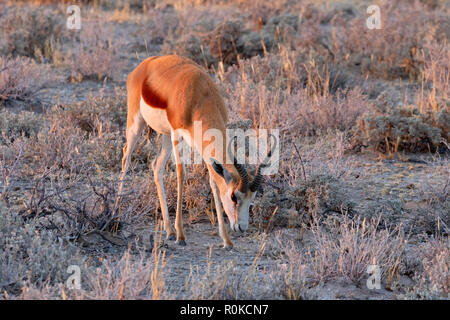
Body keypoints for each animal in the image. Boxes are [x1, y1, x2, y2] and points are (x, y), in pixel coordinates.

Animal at [119, 55, 274, 249]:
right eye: (234, 197)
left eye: (251, 198)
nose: (241, 227)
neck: (199, 94)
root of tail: (145, 65)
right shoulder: (177, 134)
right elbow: (181, 174)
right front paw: (181, 235)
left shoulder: (203, 146)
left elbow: (213, 182)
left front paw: (226, 240)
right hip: (137, 124)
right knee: (126, 157)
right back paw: (117, 210)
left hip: (165, 135)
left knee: (156, 167)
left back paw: (169, 230)